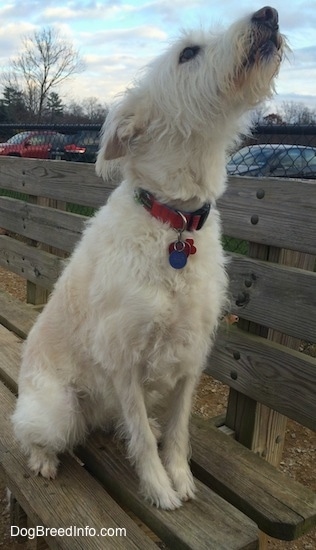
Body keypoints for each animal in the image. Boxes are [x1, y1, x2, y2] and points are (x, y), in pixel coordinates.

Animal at [12, 6, 286, 512]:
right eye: (188, 53)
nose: (269, 13)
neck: (174, 222)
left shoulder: (192, 353)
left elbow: (177, 430)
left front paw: (179, 476)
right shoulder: (124, 357)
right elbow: (138, 434)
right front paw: (159, 489)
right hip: (57, 411)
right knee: (28, 431)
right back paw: (42, 460)